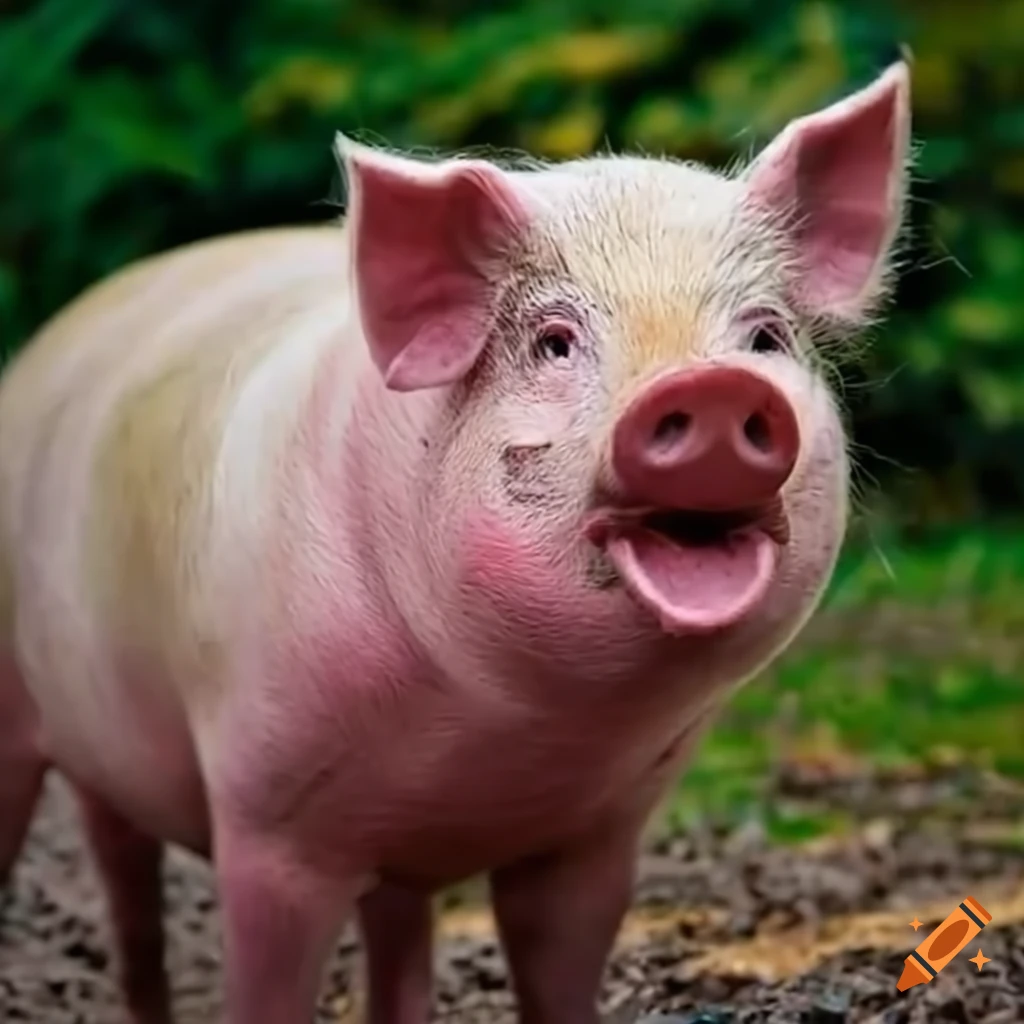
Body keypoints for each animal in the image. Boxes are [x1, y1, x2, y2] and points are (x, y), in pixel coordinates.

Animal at [0, 62, 911, 1024]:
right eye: (554, 342)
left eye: (764, 335)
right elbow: (268, 974)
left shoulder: (599, 831)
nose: (708, 386)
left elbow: (560, 965)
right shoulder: (266, 816)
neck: (499, 740)